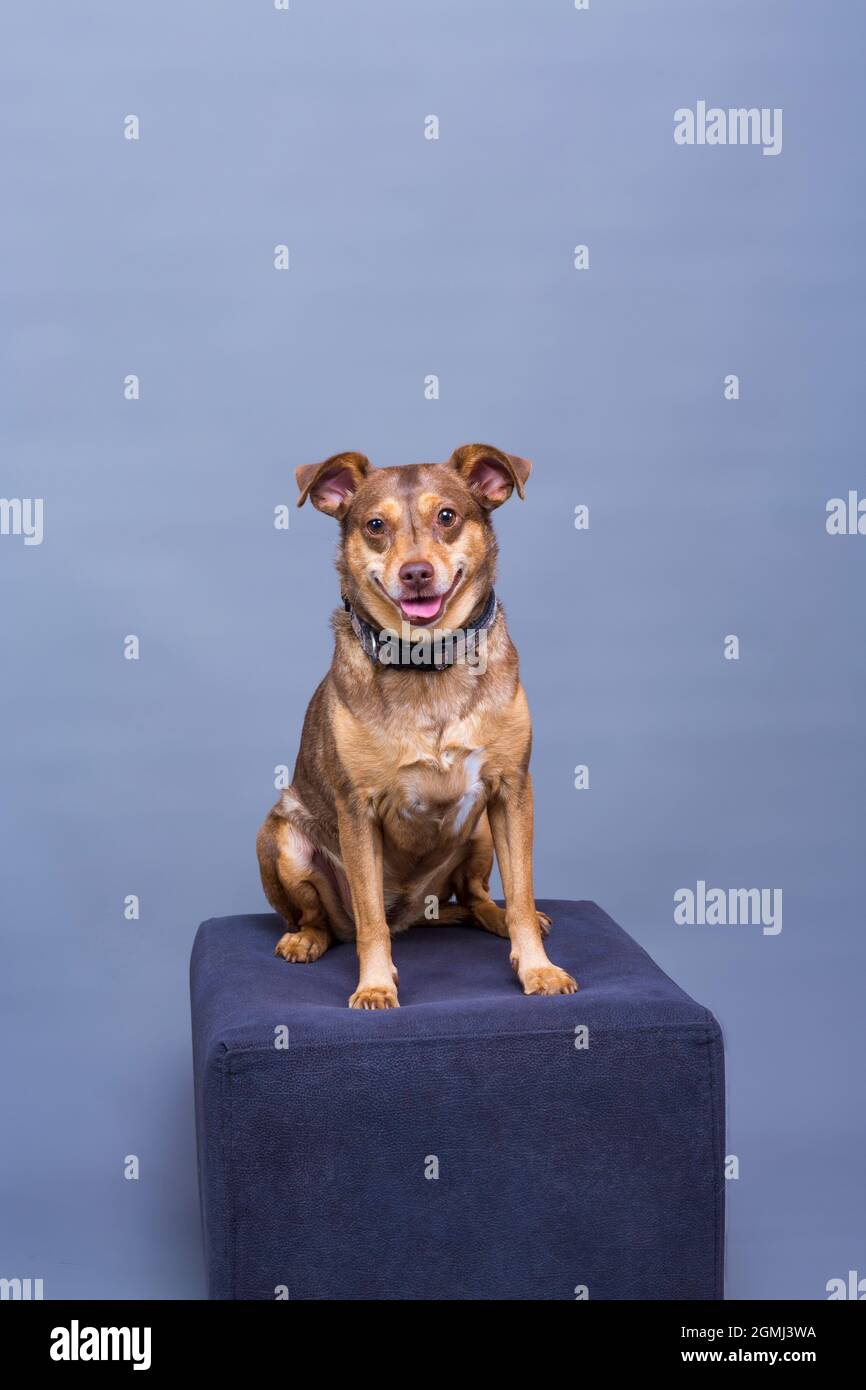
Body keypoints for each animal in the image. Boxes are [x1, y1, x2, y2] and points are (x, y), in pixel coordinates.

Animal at [258, 444, 583, 1011]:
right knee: (327, 919)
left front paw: (537, 968)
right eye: (374, 525)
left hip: (480, 830)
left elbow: (522, 893)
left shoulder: (512, 791)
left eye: (447, 517)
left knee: (477, 897)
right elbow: (369, 921)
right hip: (279, 839)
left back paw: (504, 923)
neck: (427, 663)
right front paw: (374, 984)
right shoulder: (357, 810)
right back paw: (306, 939)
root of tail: (411, 912)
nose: (415, 573)